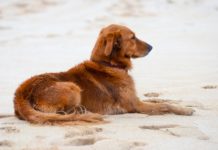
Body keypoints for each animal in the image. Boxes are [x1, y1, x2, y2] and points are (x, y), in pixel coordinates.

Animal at [14, 24, 194, 125]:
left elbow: (162, 100)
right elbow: (165, 105)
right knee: (61, 112)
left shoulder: (137, 99)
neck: (109, 64)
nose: (151, 47)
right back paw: (81, 111)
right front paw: (185, 110)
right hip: (72, 86)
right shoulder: (135, 105)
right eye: (133, 37)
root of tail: (20, 94)